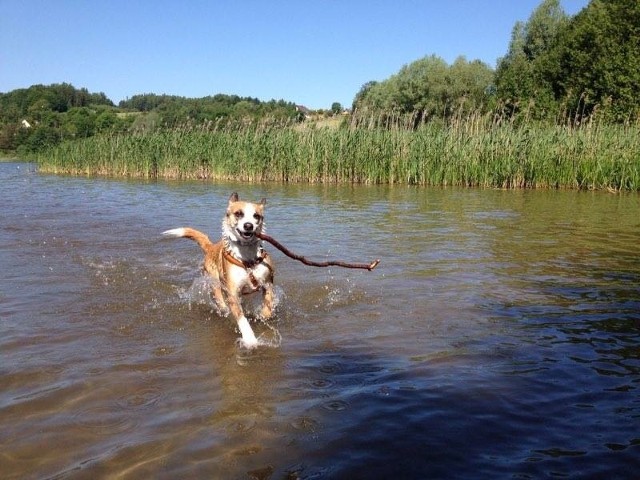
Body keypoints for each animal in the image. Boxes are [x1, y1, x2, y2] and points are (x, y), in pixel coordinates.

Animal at [161, 192, 274, 348]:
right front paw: (250, 339)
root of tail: (211, 247)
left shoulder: (268, 283)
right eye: (238, 213)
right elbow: (241, 319)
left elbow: (268, 306)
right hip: (214, 283)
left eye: (256, 216)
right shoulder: (232, 293)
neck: (247, 258)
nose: (248, 226)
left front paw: (263, 316)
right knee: (222, 303)